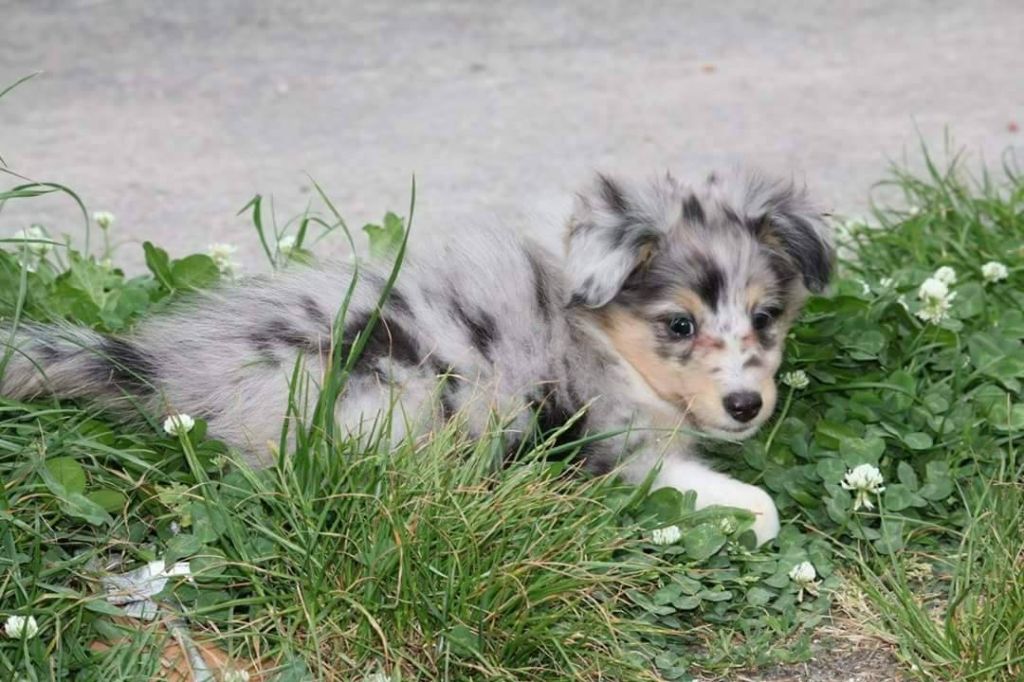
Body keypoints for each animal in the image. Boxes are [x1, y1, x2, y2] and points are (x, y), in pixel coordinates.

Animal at [0, 168, 831, 540]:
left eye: (766, 317)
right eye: (679, 325)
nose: (746, 407)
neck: (599, 338)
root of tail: (175, 370)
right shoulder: (617, 449)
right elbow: (751, 502)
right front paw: (750, 514)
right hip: (398, 402)